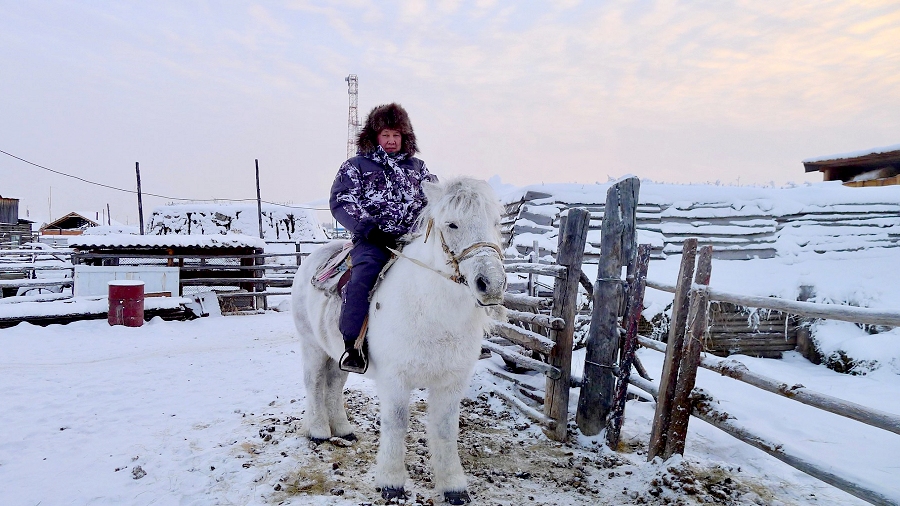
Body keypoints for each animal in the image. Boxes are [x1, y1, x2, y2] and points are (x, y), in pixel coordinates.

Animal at [294, 177, 510, 502]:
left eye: (496, 223)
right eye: (452, 224)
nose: (492, 285)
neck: (429, 309)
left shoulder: (452, 383)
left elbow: (446, 430)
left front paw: (454, 487)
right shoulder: (395, 380)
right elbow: (396, 424)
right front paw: (392, 483)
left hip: (338, 355)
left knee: (333, 386)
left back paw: (343, 430)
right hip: (311, 347)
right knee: (313, 383)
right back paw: (319, 431)